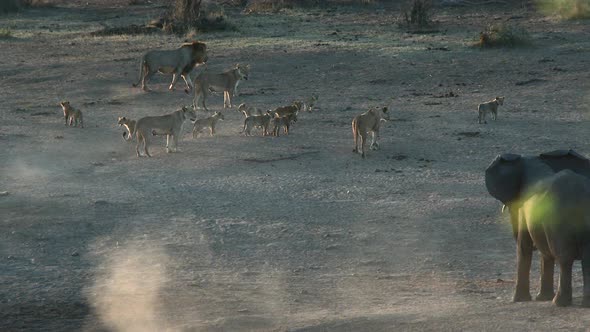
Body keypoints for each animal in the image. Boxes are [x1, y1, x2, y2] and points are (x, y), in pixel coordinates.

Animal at [486, 150, 590, 306]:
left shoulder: (524, 208)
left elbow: (523, 246)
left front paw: (518, 300)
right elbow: (544, 253)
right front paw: (541, 298)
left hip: (558, 222)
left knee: (564, 258)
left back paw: (558, 303)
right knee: (586, 259)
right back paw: (583, 304)